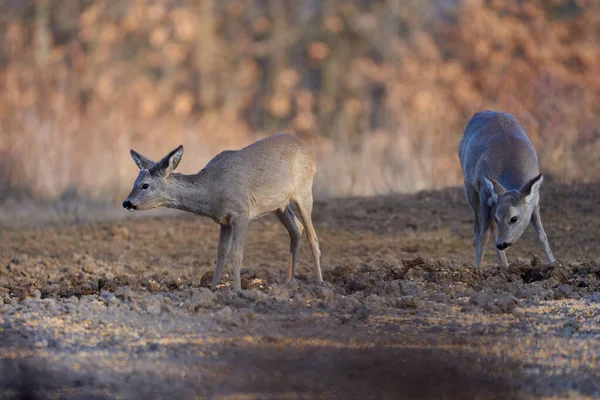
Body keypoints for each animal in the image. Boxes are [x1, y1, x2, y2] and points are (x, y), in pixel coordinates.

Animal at [121, 133, 324, 292]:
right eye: (134, 182)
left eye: (145, 185)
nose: (126, 202)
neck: (212, 190)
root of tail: (309, 149)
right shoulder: (223, 220)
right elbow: (220, 253)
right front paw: (212, 289)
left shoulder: (241, 212)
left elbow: (236, 253)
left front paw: (237, 291)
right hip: (279, 205)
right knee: (296, 229)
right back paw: (289, 282)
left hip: (304, 191)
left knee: (312, 236)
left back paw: (319, 282)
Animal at [460, 111, 552, 268]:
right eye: (498, 218)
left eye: (514, 218)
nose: (501, 244)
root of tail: (479, 113)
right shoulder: (484, 194)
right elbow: (483, 235)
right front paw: (477, 268)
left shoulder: (535, 200)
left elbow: (542, 235)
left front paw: (554, 263)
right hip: (470, 188)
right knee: (479, 229)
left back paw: (504, 265)